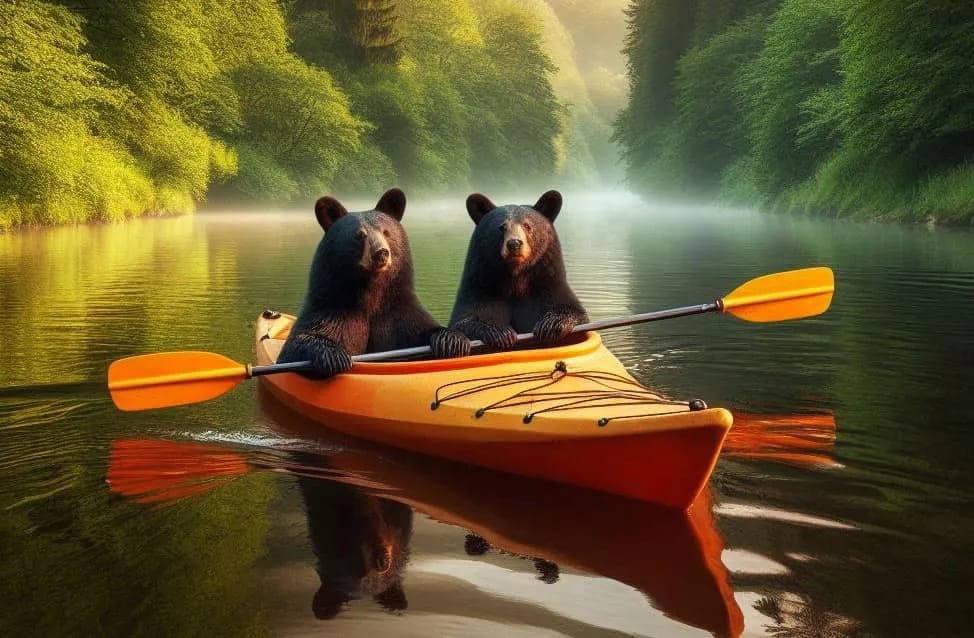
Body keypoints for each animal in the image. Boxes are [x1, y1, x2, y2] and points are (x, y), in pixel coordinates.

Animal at [279, 188, 470, 378]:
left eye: (386, 232)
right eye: (359, 235)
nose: (381, 253)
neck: (371, 292)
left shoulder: (398, 314)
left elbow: (423, 331)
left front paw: (451, 340)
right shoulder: (331, 311)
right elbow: (294, 349)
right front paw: (334, 356)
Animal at [449, 190, 588, 349]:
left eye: (527, 225)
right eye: (501, 227)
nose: (514, 243)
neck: (516, 276)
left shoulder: (548, 282)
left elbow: (574, 311)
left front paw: (550, 326)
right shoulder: (480, 284)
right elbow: (465, 320)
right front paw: (500, 332)